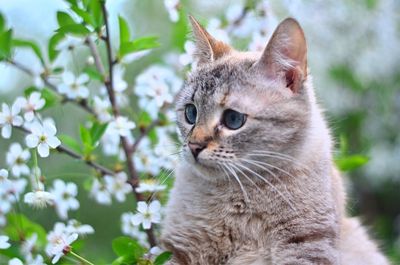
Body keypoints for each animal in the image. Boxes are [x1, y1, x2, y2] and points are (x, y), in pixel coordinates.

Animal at [160, 16, 390, 264]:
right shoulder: (179, 250)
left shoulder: (305, 248)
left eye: (233, 119)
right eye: (191, 113)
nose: (194, 146)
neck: (240, 192)